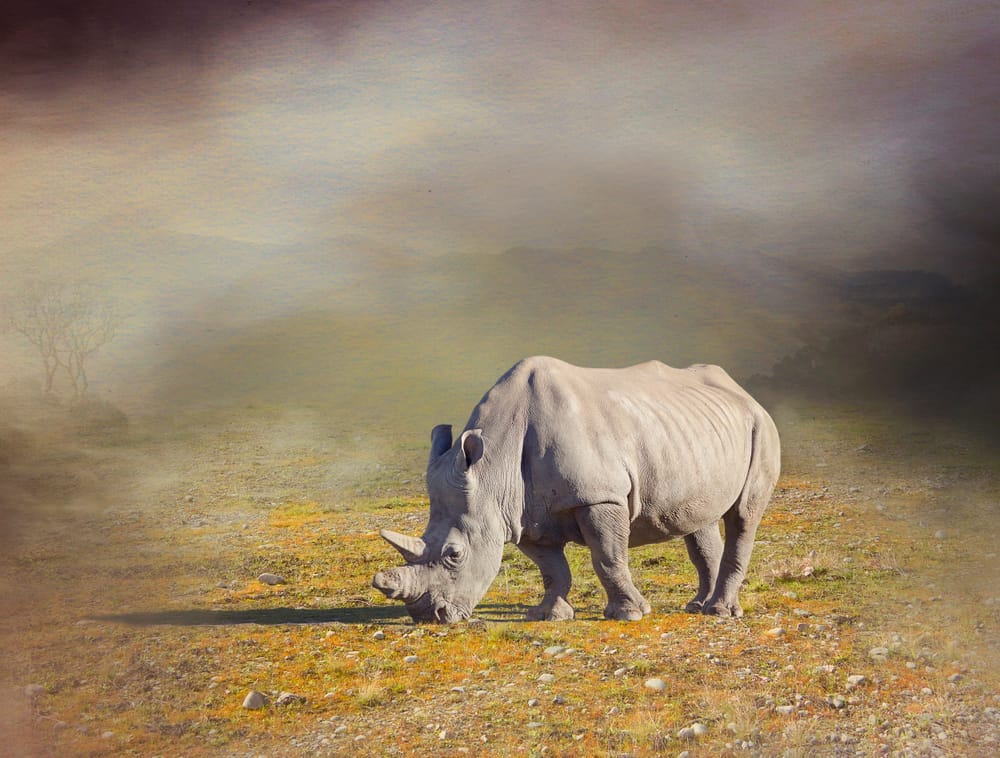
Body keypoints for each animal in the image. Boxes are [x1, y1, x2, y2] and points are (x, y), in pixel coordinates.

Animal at [373, 356, 780, 623]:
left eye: (454, 554)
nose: (429, 616)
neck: (493, 470)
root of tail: (743, 392)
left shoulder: (600, 497)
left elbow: (608, 557)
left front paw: (630, 614)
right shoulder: (520, 514)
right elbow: (552, 568)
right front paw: (548, 615)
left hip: (760, 426)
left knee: (743, 516)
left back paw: (720, 612)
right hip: (689, 433)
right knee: (698, 519)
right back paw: (697, 606)